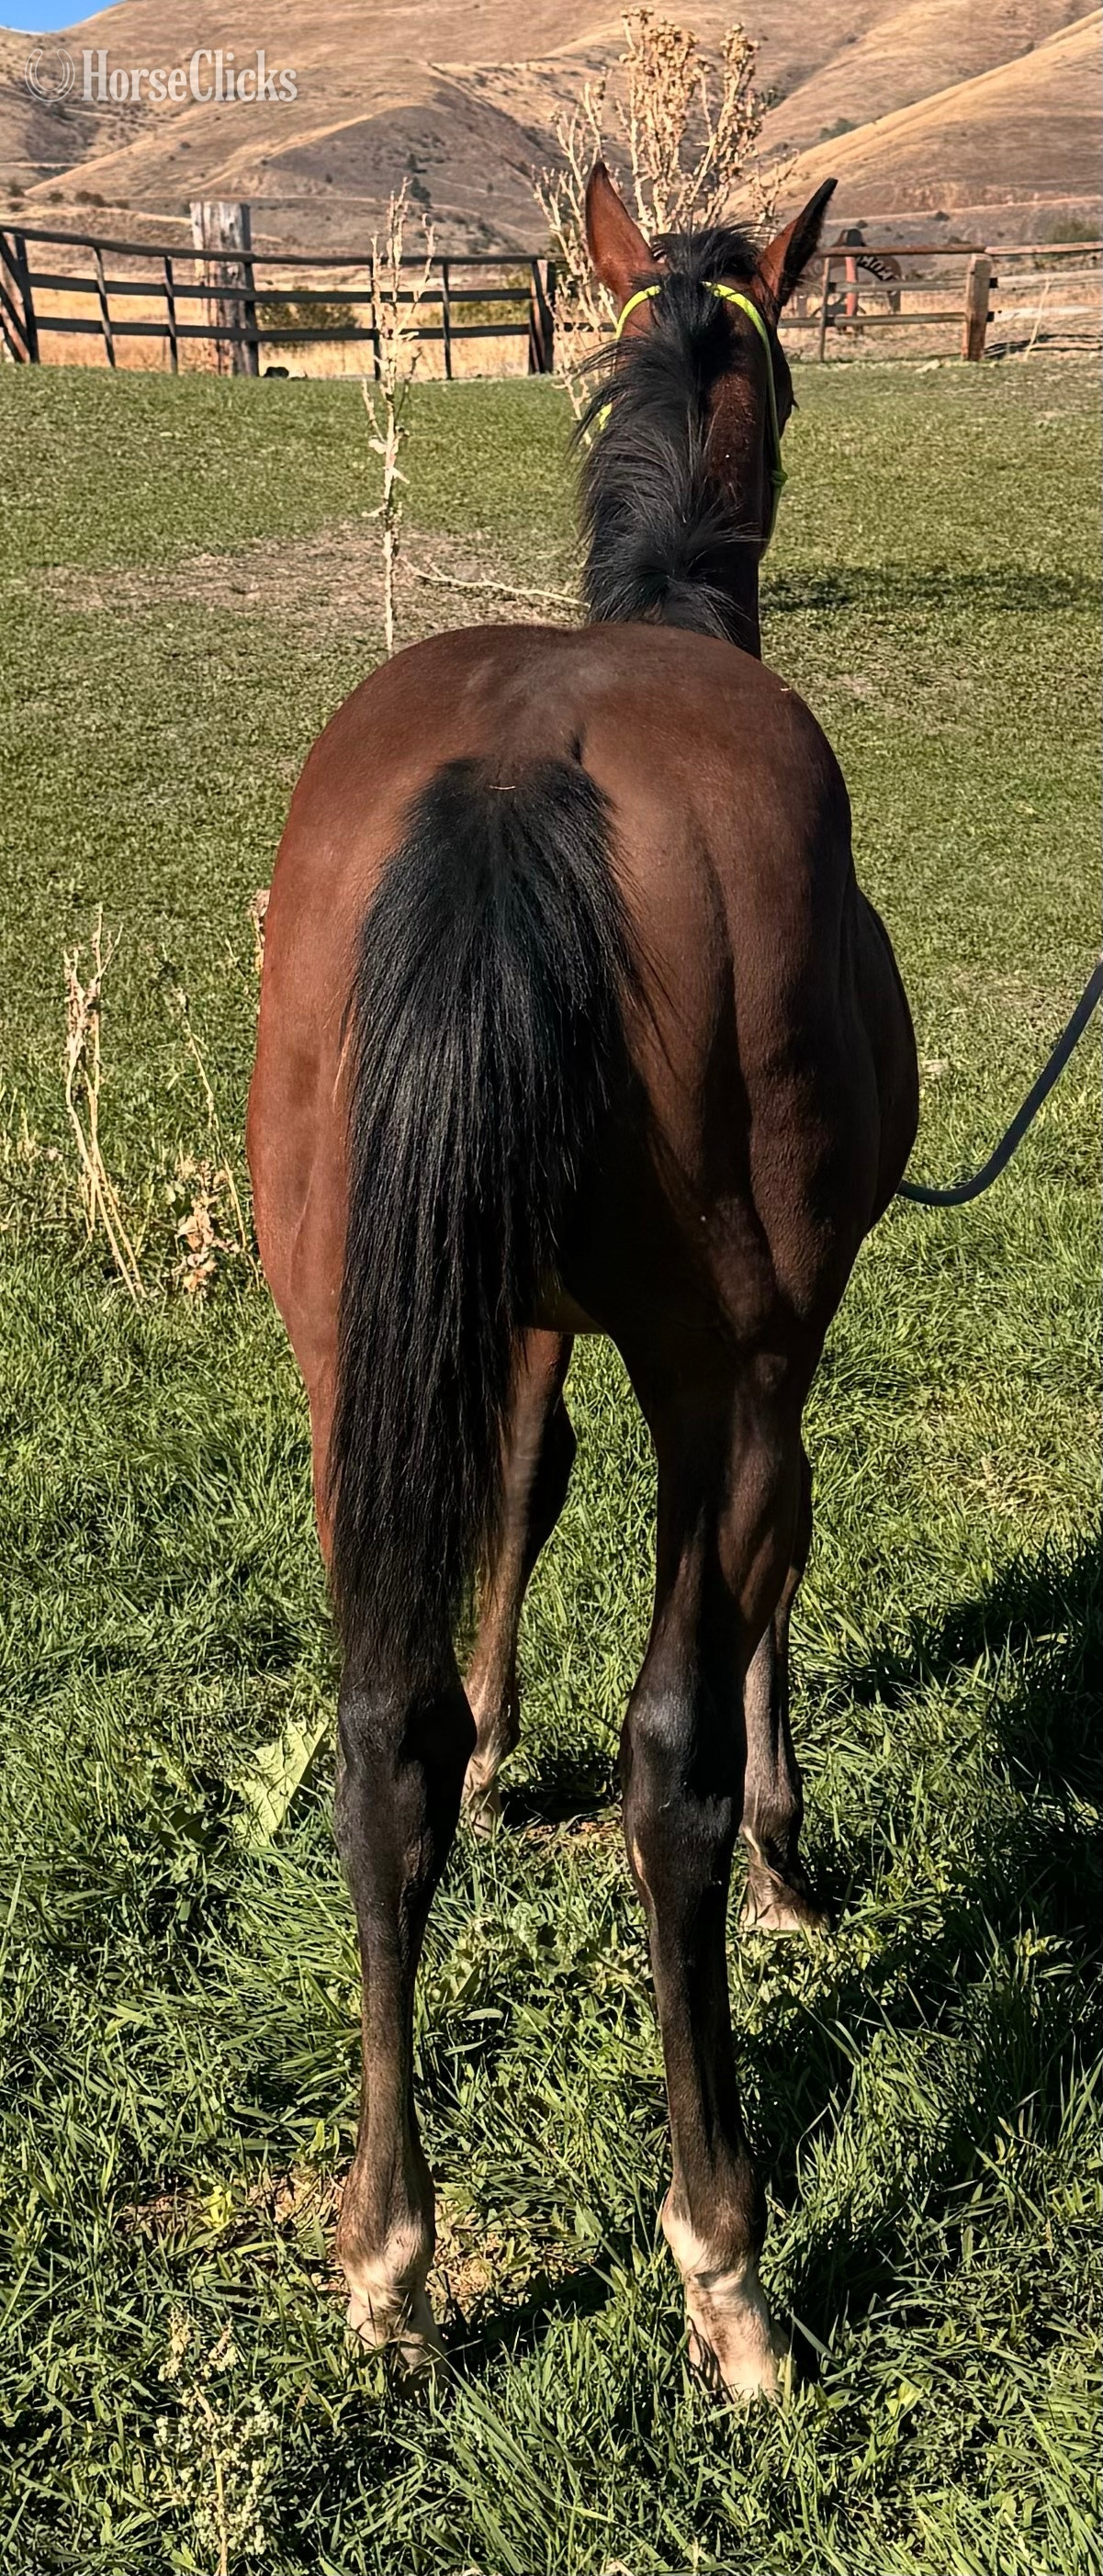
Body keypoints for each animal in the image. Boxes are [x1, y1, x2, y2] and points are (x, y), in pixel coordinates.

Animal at [247, 161, 919, 2404]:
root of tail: (523, 773)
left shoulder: (511, 1319)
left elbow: (515, 1506)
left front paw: (489, 1714)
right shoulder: (772, 1364)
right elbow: (770, 1600)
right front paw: (797, 1855)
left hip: (345, 1342)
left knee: (373, 1737)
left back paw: (388, 2251)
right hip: (721, 1366)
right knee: (664, 1773)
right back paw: (724, 2258)